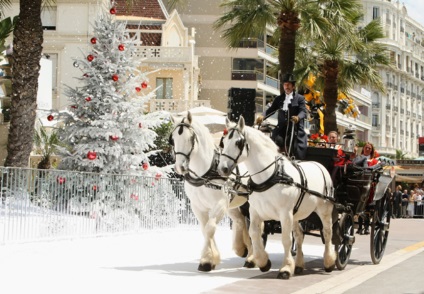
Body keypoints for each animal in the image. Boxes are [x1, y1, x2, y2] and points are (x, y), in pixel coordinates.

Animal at [170, 112, 252, 272]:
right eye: (173, 139)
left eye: (190, 138)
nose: (180, 167)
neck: (205, 172)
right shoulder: (198, 206)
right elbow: (205, 229)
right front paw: (210, 258)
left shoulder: (220, 204)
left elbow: (210, 228)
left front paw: (207, 261)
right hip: (233, 203)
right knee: (240, 220)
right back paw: (242, 248)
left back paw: (251, 257)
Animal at [217, 116, 336, 280]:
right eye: (222, 142)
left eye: (238, 142)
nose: (222, 169)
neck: (270, 175)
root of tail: (320, 166)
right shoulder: (255, 212)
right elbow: (255, 234)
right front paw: (263, 262)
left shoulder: (285, 214)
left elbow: (286, 240)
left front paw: (286, 268)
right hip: (296, 214)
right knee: (299, 235)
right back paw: (299, 264)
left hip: (324, 210)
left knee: (327, 232)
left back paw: (329, 261)